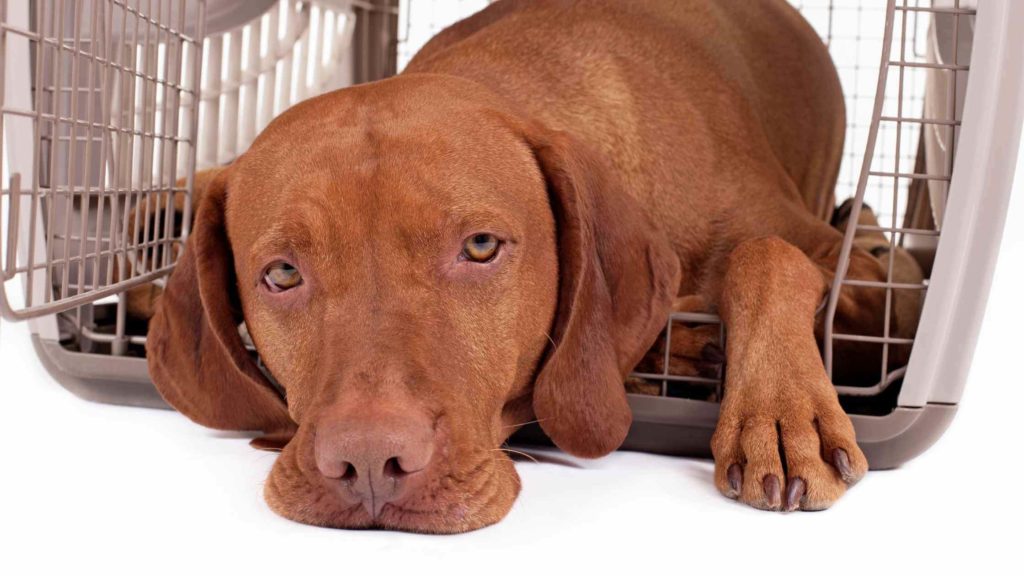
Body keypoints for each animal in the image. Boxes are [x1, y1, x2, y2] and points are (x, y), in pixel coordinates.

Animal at [142, 0, 913, 532]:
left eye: (481, 246)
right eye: (281, 274)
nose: (366, 465)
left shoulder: (874, 282)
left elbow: (768, 253)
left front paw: (780, 416)